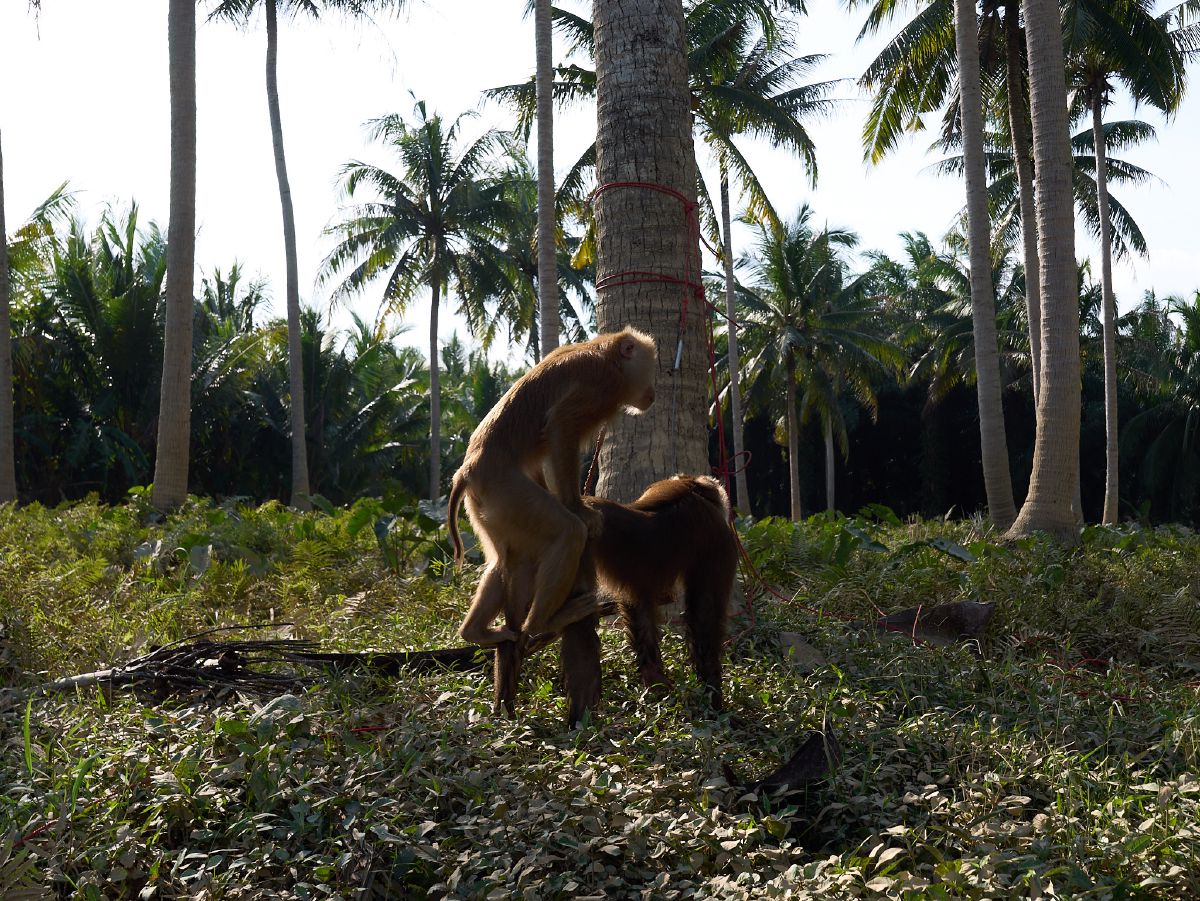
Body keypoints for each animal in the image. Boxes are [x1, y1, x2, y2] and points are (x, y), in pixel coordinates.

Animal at [446, 328, 657, 651]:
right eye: (651, 369)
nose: (654, 392)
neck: (607, 355)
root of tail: (467, 470)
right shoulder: (600, 381)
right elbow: (561, 425)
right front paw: (577, 507)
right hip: (506, 490)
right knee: (567, 534)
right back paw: (542, 623)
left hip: (487, 504)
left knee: (510, 559)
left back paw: (476, 632)